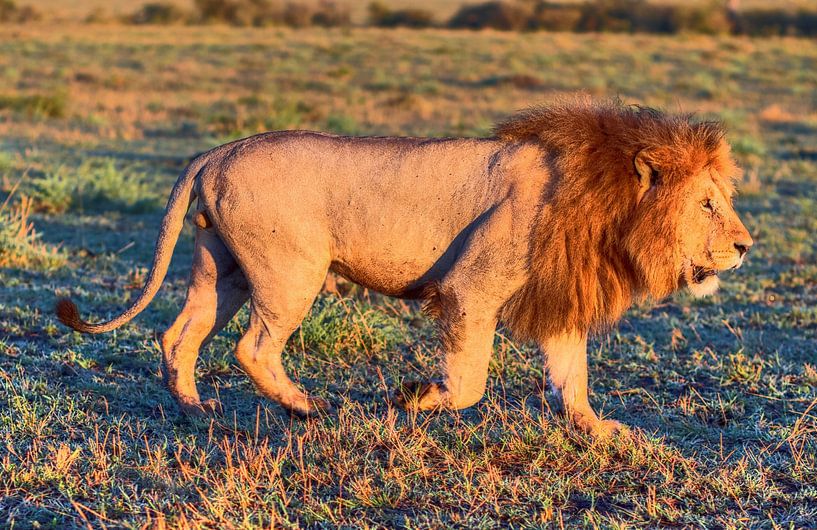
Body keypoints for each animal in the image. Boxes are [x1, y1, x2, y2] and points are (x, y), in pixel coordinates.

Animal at [56, 97, 753, 438]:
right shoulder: (472, 287)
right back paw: (302, 408)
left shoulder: (557, 293)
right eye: (708, 203)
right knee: (253, 346)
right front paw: (416, 399)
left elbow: (571, 372)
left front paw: (597, 430)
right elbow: (469, 382)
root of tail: (218, 149)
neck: (606, 202)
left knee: (178, 335)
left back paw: (195, 410)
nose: (746, 246)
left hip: (220, 267)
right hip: (290, 271)